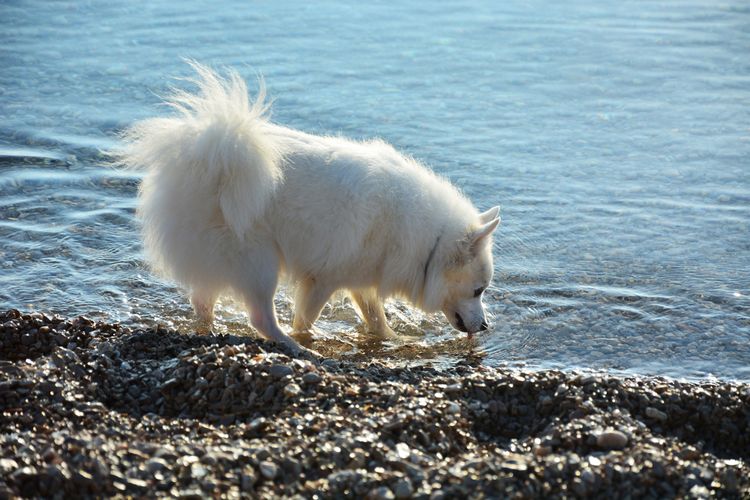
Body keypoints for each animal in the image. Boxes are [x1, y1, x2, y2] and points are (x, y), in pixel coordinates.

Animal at [120, 62, 502, 354]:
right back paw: (297, 348)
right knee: (260, 317)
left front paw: (393, 339)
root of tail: (205, 157)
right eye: (478, 290)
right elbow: (306, 318)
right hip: (259, 261)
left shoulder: (361, 277)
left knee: (202, 302)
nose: (485, 326)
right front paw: (308, 336)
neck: (429, 241)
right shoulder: (322, 278)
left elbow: (375, 317)